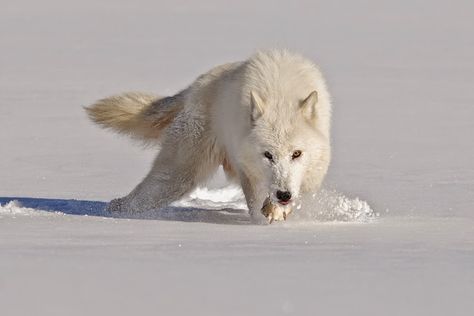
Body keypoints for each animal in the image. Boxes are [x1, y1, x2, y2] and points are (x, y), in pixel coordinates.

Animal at [85, 49, 330, 222]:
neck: (280, 95)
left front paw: (278, 211)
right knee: (136, 199)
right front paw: (270, 213)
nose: (283, 194)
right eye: (268, 155)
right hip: (178, 178)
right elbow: (258, 200)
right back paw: (112, 211)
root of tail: (195, 86)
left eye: (296, 154)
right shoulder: (248, 170)